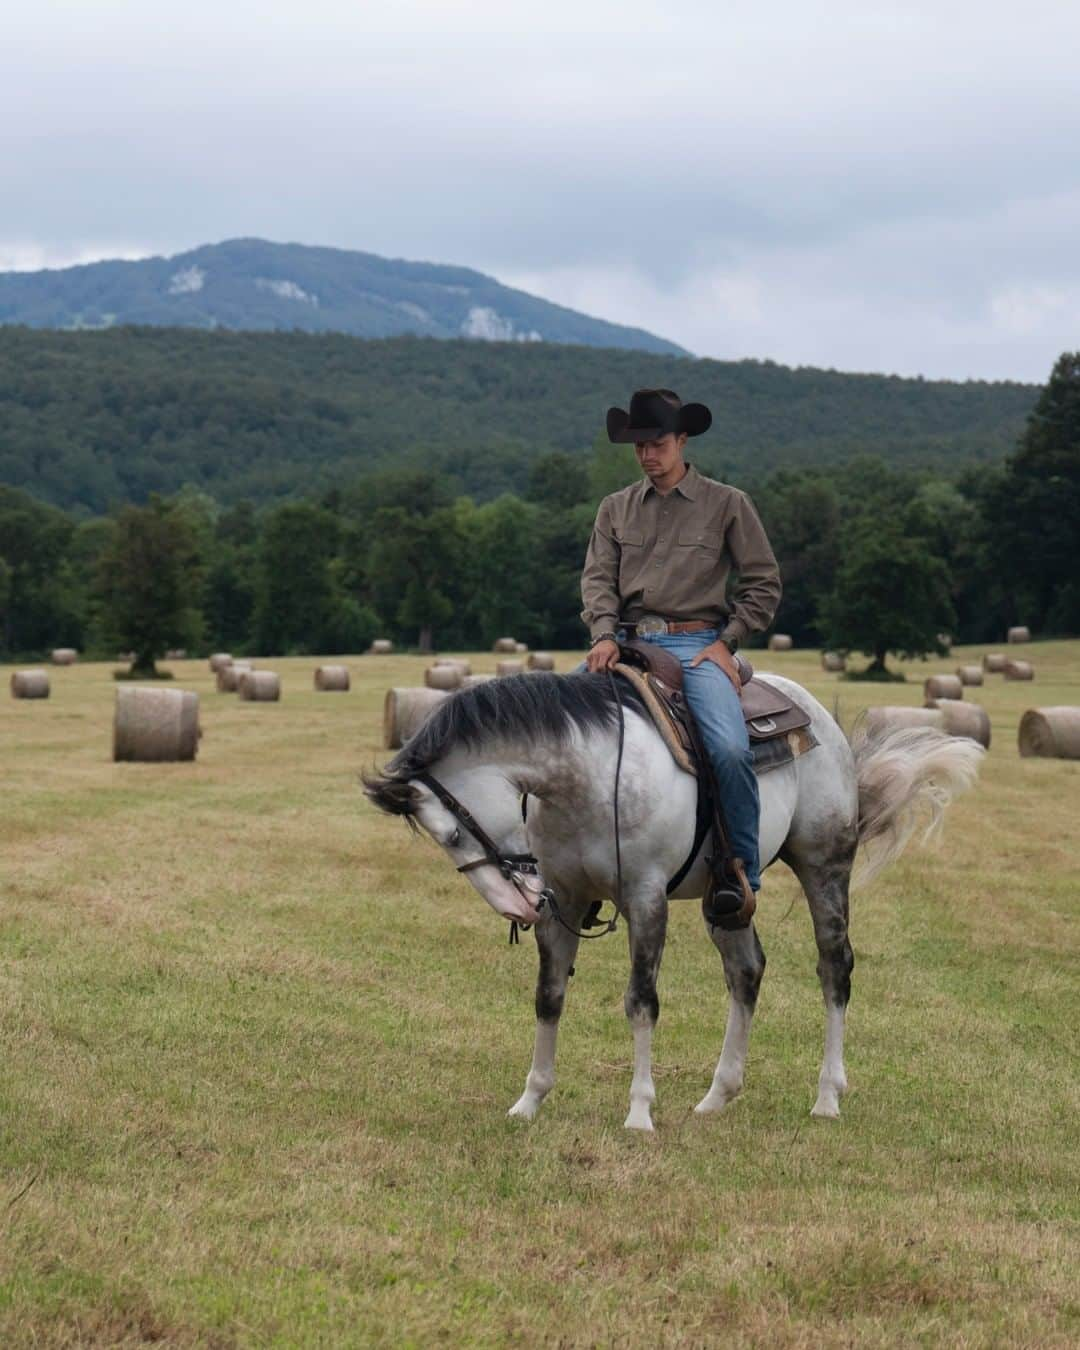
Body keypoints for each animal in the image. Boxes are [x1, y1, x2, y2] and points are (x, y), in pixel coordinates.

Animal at [361, 672, 977, 1128]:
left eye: (453, 833)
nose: (519, 907)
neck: (588, 777)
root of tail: (815, 712)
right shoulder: (565, 901)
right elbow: (549, 997)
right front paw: (530, 1101)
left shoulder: (645, 898)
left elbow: (641, 1001)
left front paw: (639, 1111)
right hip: (729, 897)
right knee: (746, 971)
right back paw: (717, 1095)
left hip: (824, 867)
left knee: (834, 967)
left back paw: (827, 1096)